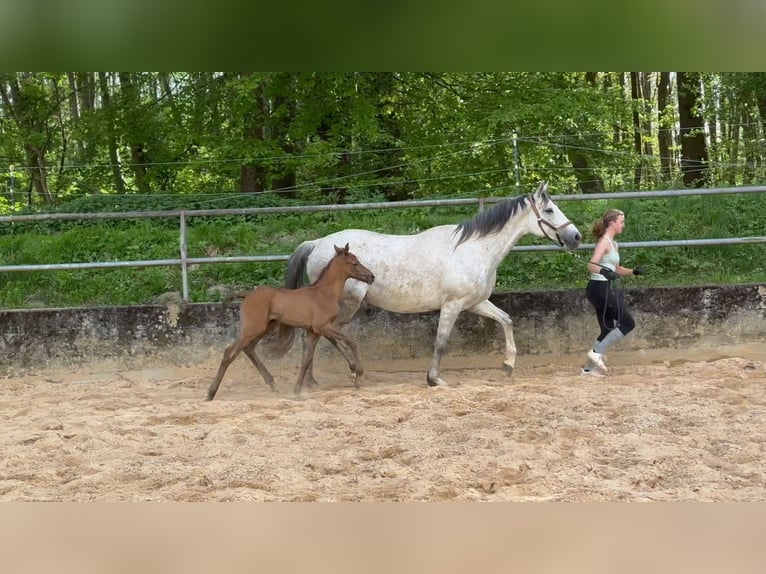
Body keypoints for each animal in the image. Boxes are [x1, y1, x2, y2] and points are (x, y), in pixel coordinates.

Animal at [286, 182, 584, 390]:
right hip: (348, 304)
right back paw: (351, 370)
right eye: (549, 210)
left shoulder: (475, 303)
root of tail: (317, 243)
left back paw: (312, 380)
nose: (576, 237)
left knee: (315, 335)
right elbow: (441, 342)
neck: (473, 249)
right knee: (327, 333)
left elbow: (507, 320)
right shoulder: (452, 305)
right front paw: (434, 379)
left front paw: (508, 365)